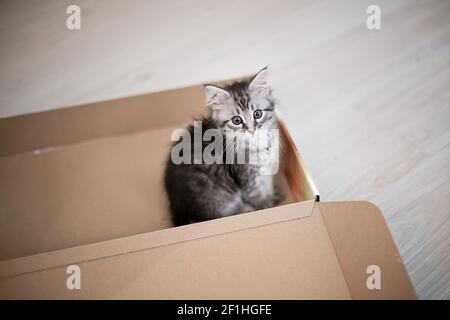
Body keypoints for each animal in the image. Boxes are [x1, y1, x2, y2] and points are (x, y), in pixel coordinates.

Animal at [163, 68, 284, 226]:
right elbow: (256, 194)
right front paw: (266, 204)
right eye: (236, 120)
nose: (251, 130)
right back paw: (245, 209)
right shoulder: (248, 176)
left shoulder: (267, 169)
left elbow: (267, 184)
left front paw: (271, 194)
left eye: (257, 114)